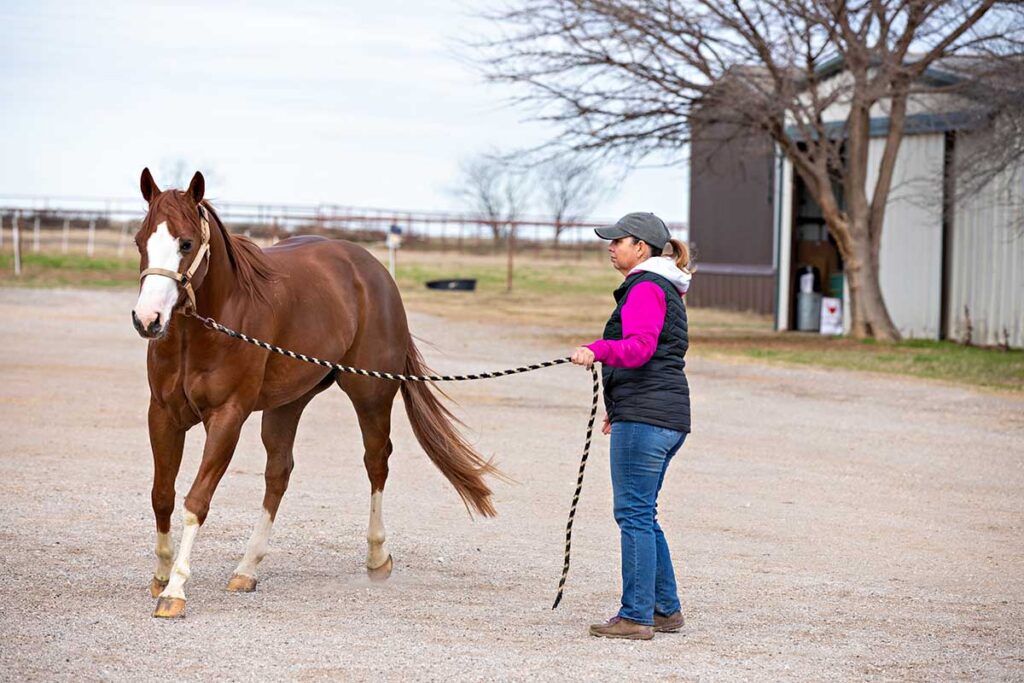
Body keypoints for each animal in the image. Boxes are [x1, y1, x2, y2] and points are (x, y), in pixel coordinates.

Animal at [131, 168, 499, 618]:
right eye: (140, 240)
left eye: (185, 243)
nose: (148, 319)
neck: (202, 330)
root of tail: (372, 270)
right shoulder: (163, 414)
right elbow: (162, 496)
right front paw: (161, 575)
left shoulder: (227, 418)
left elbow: (196, 500)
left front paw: (175, 591)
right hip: (288, 404)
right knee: (279, 473)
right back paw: (247, 569)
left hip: (371, 396)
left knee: (376, 463)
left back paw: (377, 558)